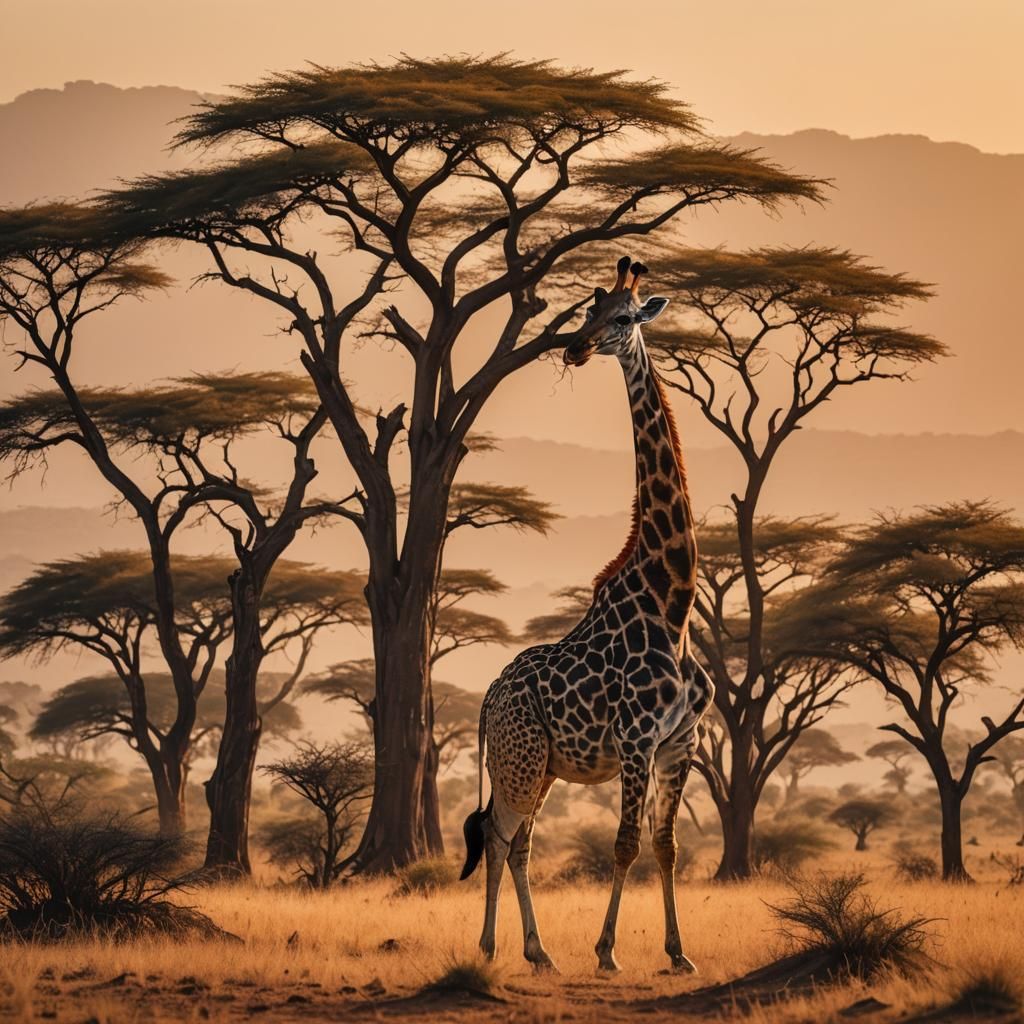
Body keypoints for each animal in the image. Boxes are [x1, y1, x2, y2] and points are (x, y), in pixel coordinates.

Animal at [460, 256, 713, 974]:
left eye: (623, 317)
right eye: (587, 310)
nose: (573, 347)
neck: (673, 601)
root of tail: (487, 698)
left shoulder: (681, 742)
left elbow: (666, 846)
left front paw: (679, 954)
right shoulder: (636, 738)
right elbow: (624, 843)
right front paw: (606, 952)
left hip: (541, 765)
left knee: (518, 842)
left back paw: (538, 951)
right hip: (518, 760)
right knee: (497, 834)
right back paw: (491, 946)